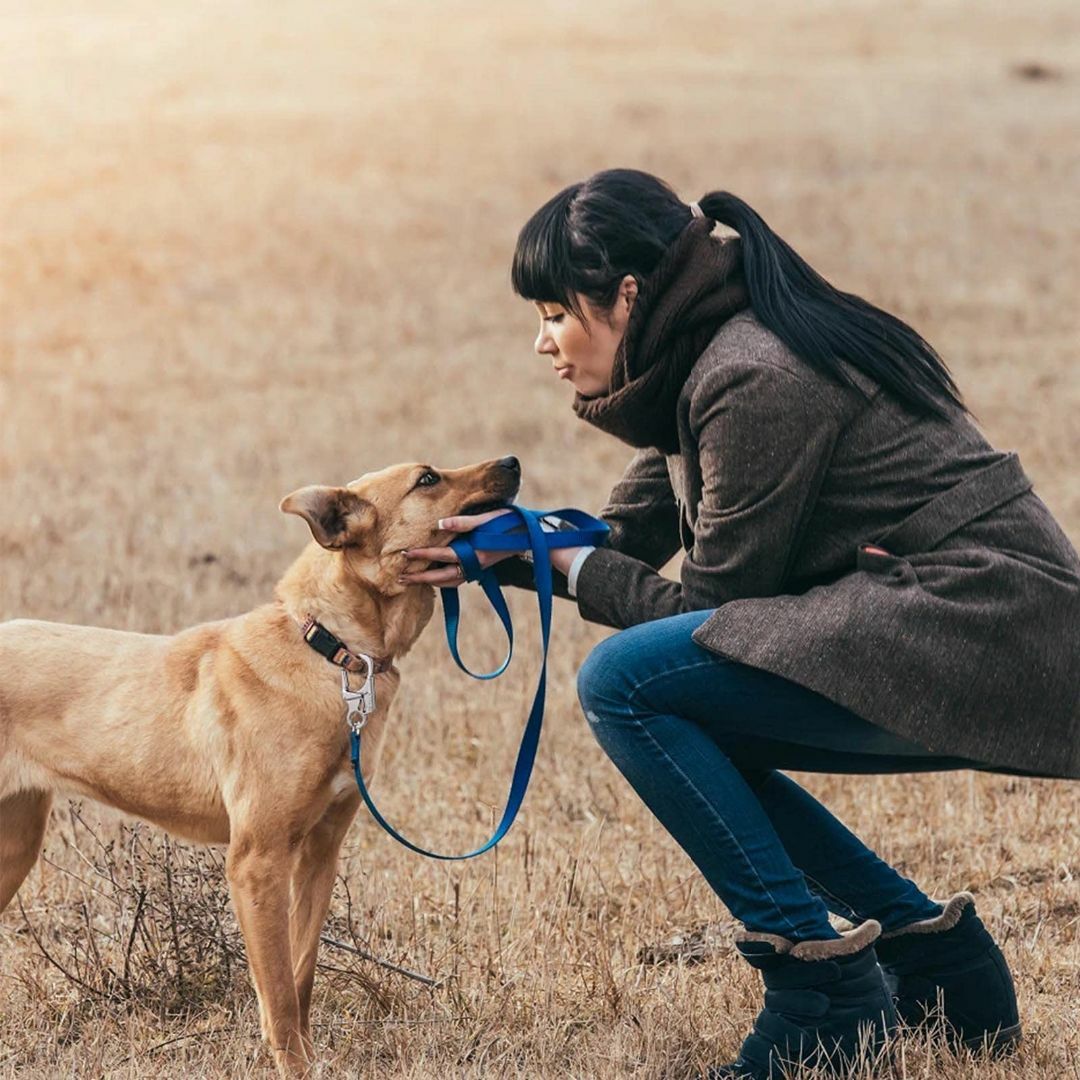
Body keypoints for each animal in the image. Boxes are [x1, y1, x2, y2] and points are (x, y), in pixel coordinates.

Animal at [0, 453, 522, 1071]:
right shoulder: (257, 860)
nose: (512, 462)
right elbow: (276, 989)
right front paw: (295, 1067)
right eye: (427, 479)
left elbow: (299, 977)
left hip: (15, 844)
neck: (331, 648)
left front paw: (311, 1058)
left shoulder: (318, 854)